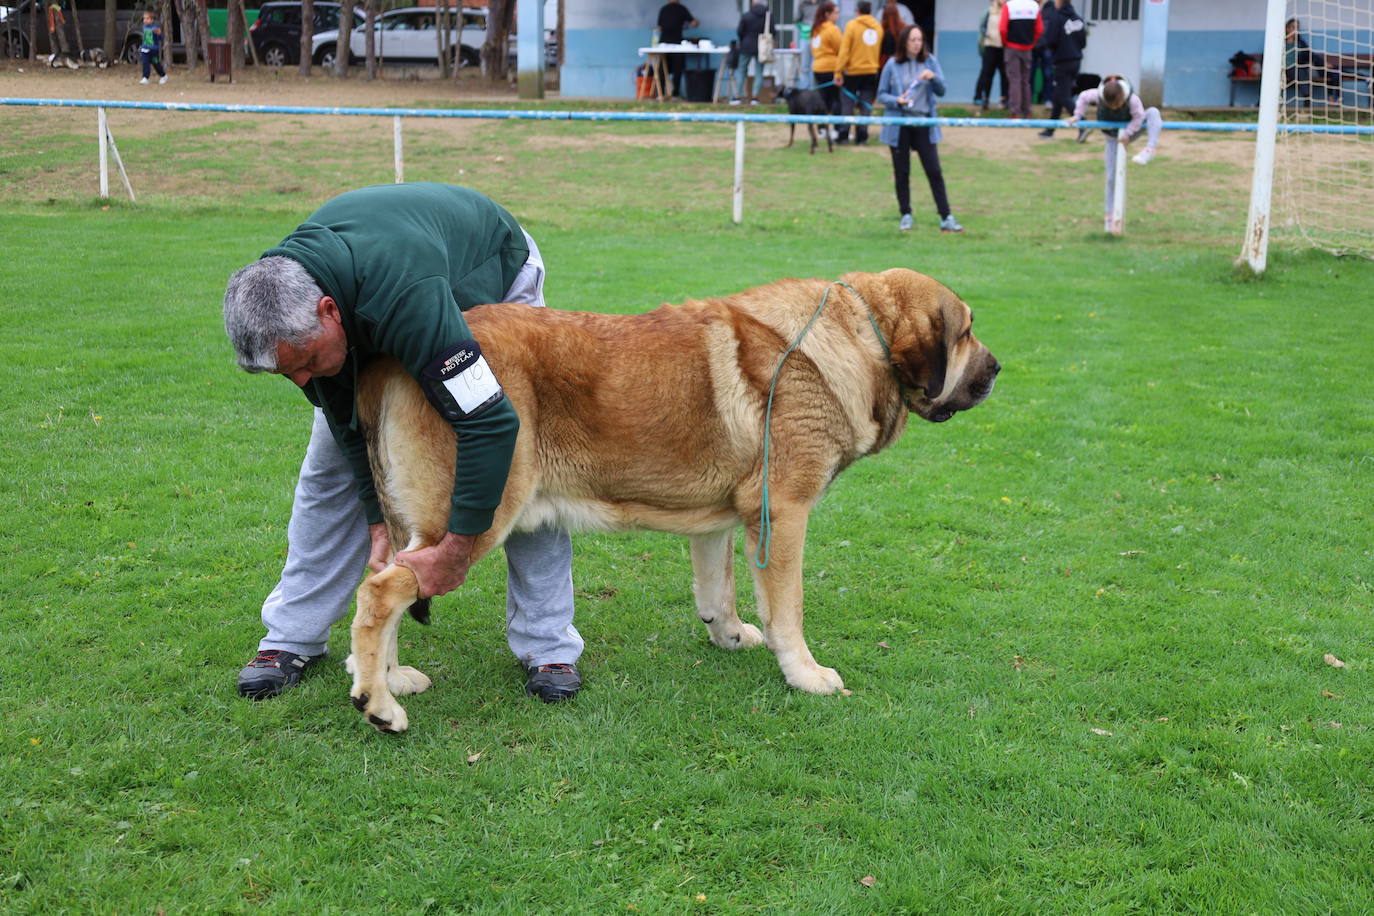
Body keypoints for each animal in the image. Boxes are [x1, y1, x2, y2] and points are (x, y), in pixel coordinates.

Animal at [343, 265, 1000, 730]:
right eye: (966, 332)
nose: (997, 369)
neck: (857, 337)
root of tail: (392, 361)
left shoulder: (721, 522)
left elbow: (719, 589)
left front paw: (729, 636)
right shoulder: (784, 512)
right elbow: (788, 610)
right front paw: (806, 675)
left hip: (421, 526)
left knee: (380, 579)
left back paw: (390, 678)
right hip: (473, 520)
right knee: (381, 593)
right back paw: (380, 706)